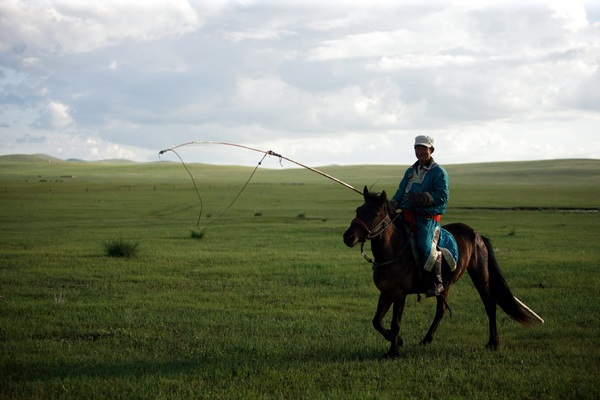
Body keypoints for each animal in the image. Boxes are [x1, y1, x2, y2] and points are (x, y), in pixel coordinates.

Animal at [342, 188, 544, 360]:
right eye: (358, 210)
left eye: (375, 213)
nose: (348, 237)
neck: (393, 250)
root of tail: (477, 235)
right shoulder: (386, 293)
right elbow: (377, 321)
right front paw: (397, 340)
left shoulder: (399, 294)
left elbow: (395, 323)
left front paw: (393, 352)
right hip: (445, 285)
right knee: (441, 310)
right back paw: (426, 339)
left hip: (480, 276)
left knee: (490, 305)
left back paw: (493, 343)